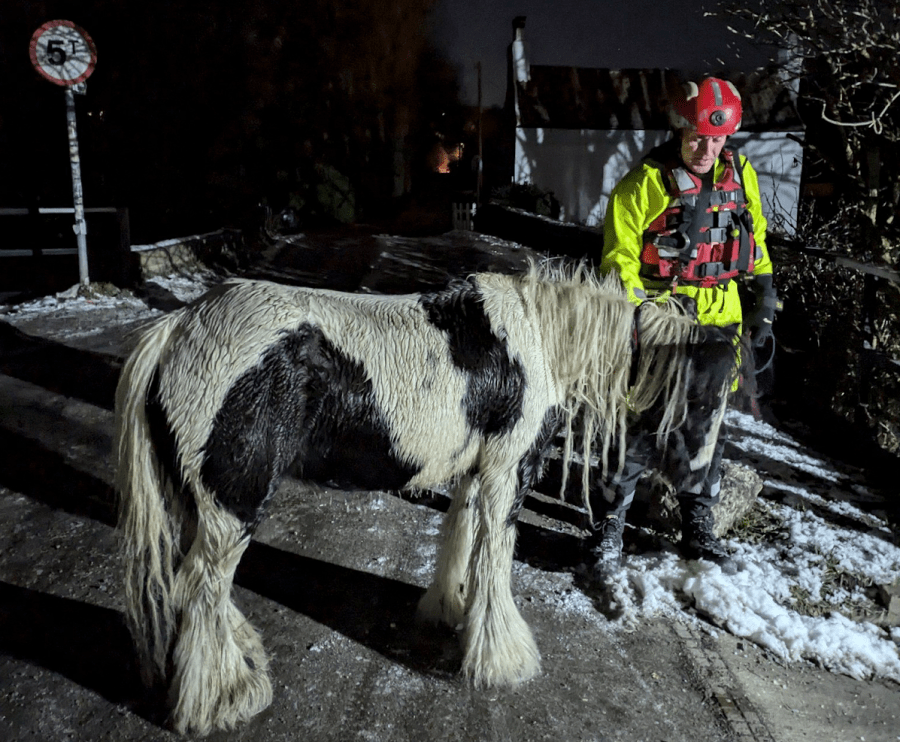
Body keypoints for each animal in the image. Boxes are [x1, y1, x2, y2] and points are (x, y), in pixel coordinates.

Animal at [114, 264, 740, 736]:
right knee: (202, 588)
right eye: (703, 389)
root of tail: (177, 329)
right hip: (234, 503)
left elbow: (461, 537)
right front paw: (503, 660)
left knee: (192, 584)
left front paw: (450, 612)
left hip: (200, 504)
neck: (540, 335)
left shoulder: (475, 472)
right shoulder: (507, 473)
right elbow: (495, 559)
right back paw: (224, 699)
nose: (702, 480)